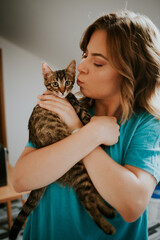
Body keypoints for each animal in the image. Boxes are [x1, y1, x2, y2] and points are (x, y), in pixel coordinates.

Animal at [9, 60, 115, 240]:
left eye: (67, 82)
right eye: (54, 84)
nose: (62, 91)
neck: (64, 98)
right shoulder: (78, 108)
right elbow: (88, 119)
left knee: (92, 194)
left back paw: (108, 211)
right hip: (78, 166)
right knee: (86, 198)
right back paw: (107, 225)